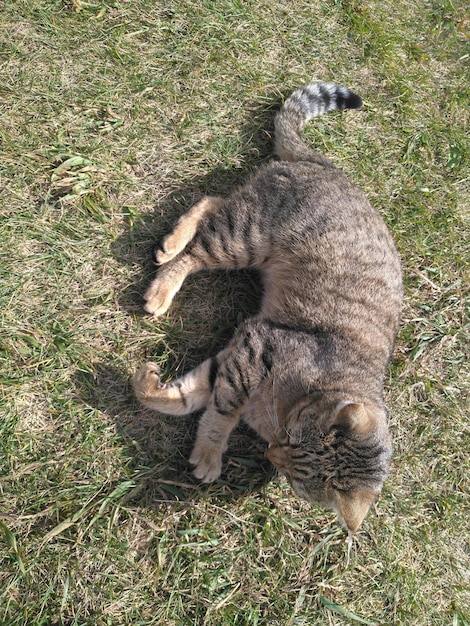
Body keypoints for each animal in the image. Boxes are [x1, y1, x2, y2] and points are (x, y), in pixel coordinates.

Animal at [133, 81, 404, 532]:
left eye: (294, 475)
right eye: (290, 439)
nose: (272, 453)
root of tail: (329, 167)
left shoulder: (231, 357)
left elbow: (188, 394)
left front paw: (151, 390)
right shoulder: (254, 347)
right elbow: (219, 415)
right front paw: (209, 454)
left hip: (245, 228)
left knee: (214, 199)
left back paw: (172, 243)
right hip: (245, 237)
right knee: (199, 240)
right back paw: (164, 278)